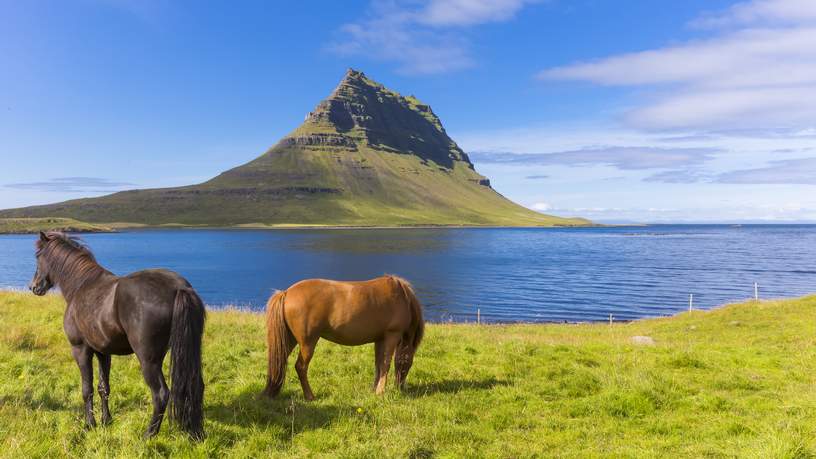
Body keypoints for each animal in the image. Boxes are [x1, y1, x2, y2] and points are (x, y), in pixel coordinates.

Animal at [29, 232, 206, 440]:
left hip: (149, 360)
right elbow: (103, 387)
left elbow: (87, 389)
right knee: (195, 386)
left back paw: (148, 435)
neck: (81, 286)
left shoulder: (81, 350)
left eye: (38, 257)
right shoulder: (103, 352)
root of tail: (179, 288)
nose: (34, 287)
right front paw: (106, 421)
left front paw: (90, 424)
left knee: (161, 394)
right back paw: (196, 432)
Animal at [262, 274, 428, 400]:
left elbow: (378, 364)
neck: (402, 297)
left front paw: (374, 389)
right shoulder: (391, 336)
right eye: (409, 362)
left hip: (289, 340)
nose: (400, 386)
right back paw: (310, 396)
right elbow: (385, 364)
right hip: (308, 343)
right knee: (301, 367)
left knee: (280, 360)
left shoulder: (379, 340)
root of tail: (286, 293)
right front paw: (381, 391)